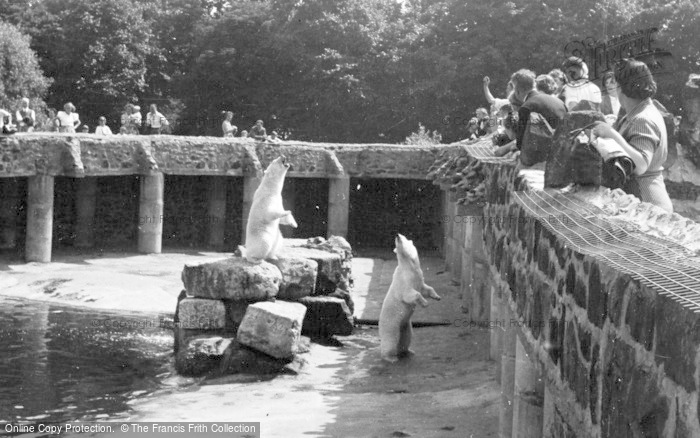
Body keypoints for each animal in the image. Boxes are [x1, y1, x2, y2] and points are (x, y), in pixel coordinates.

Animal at [380, 234, 440, 362]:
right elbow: (409, 294)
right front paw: (425, 303)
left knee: (406, 338)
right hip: (390, 325)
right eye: (396, 240)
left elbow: (425, 288)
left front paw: (437, 296)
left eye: (403, 237)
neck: (409, 266)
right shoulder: (404, 280)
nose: (397, 235)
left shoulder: (419, 276)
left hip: (405, 325)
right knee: (391, 340)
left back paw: (408, 351)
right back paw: (391, 357)